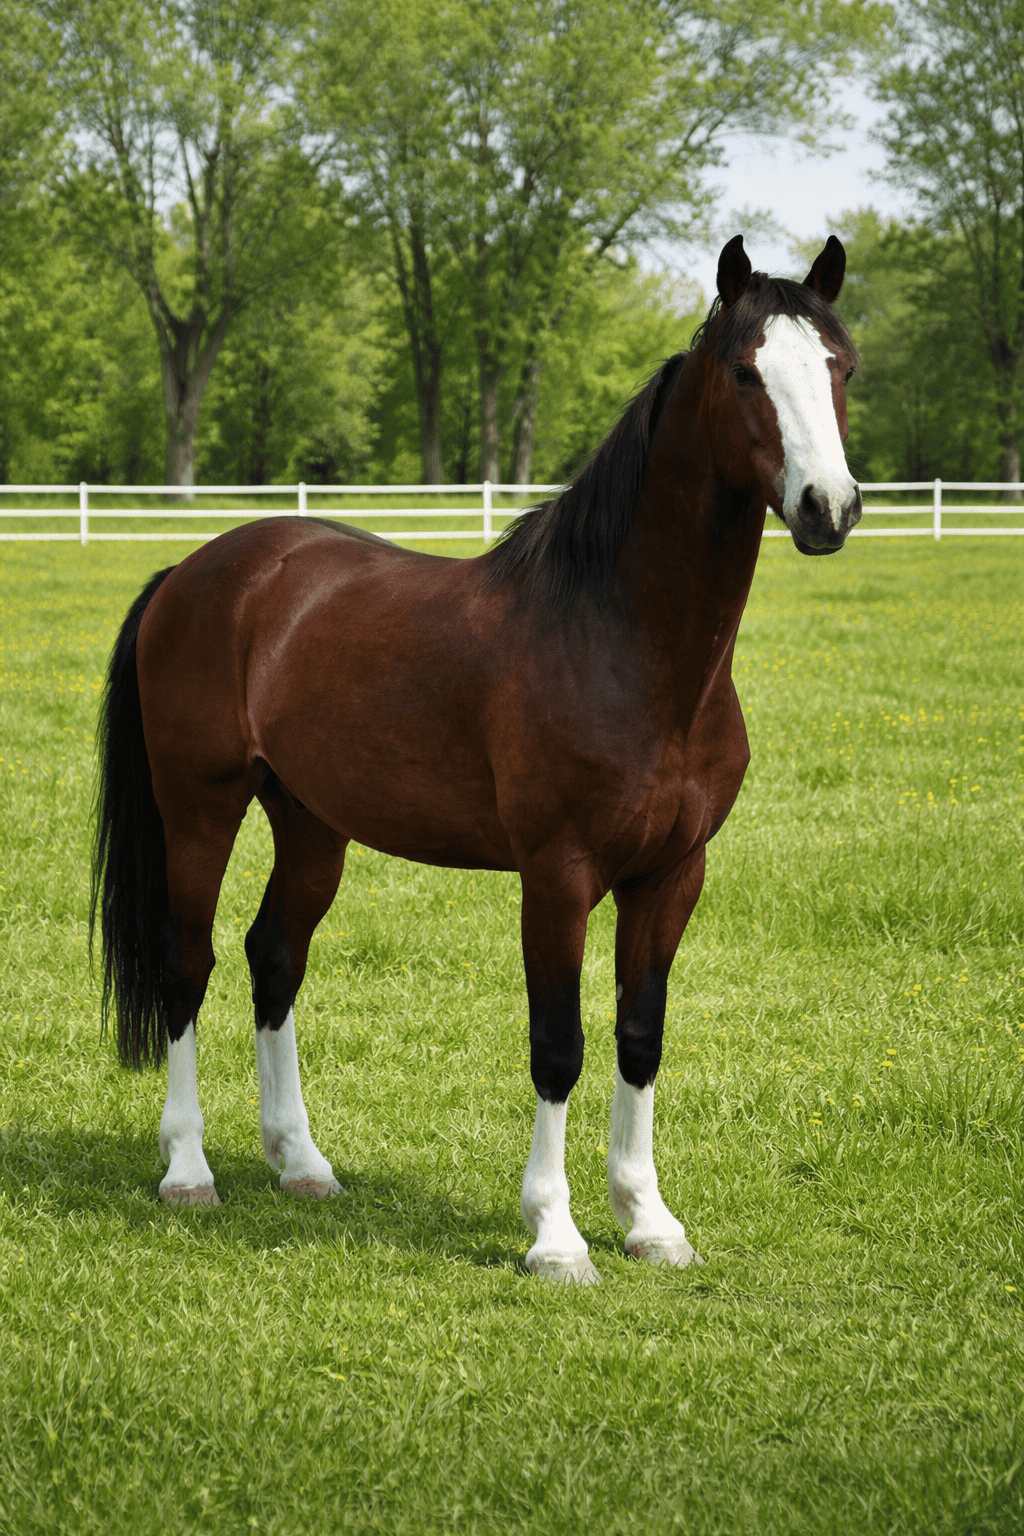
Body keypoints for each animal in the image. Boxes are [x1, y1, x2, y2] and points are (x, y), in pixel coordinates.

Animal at [92, 234, 861, 1283]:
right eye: (747, 372)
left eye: (840, 369)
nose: (829, 508)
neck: (621, 642)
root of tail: (199, 571)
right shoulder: (558, 875)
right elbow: (557, 1045)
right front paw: (556, 1236)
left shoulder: (673, 874)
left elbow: (640, 1036)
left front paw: (649, 1221)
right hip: (199, 807)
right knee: (187, 961)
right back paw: (187, 1169)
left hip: (311, 823)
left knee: (274, 959)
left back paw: (302, 1163)